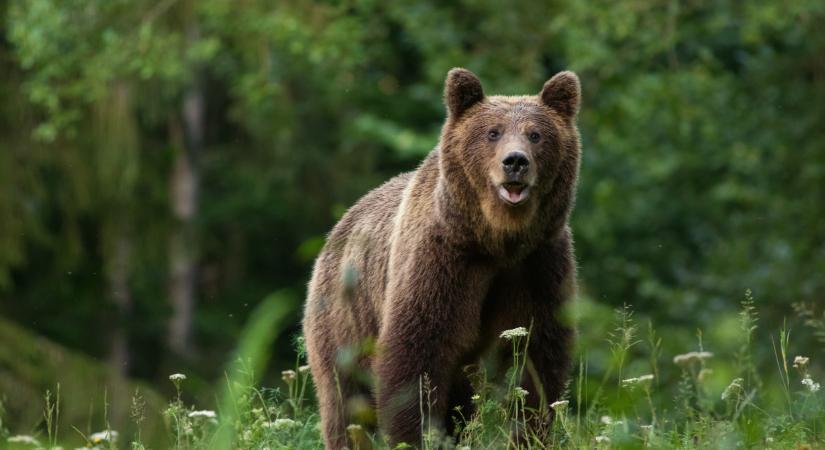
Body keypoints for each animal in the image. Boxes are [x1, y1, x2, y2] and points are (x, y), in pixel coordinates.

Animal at [302, 67, 580, 450]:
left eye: (535, 135)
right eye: (492, 133)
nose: (515, 162)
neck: (497, 239)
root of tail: (338, 228)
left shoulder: (538, 263)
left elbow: (535, 356)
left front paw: (529, 433)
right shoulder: (442, 260)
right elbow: (417, 353)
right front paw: (416, 435)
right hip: (344, 316)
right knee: (346, 399)